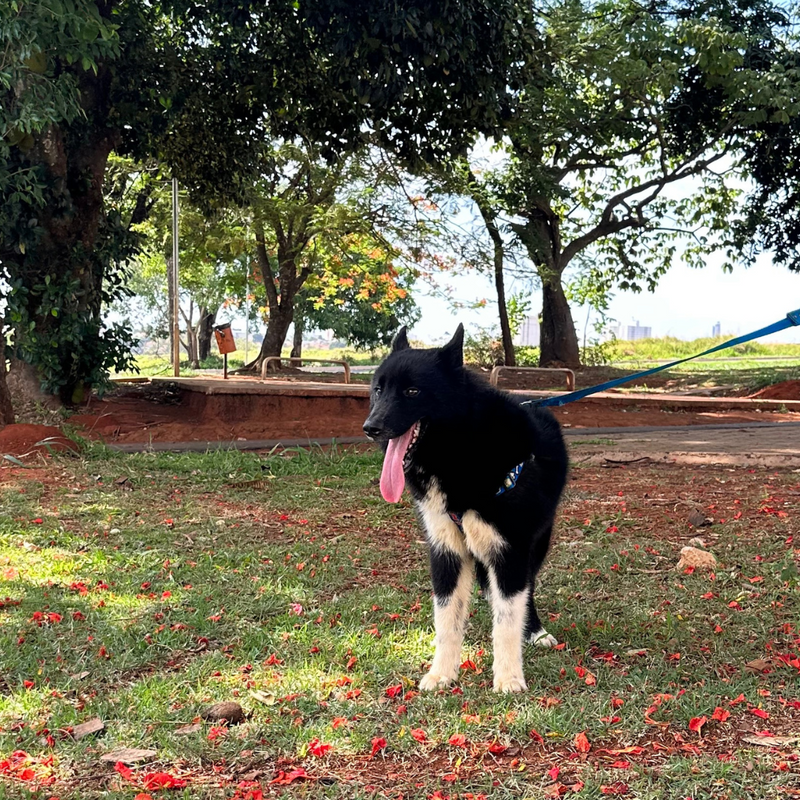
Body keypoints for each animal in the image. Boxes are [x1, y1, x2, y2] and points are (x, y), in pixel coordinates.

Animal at [362, 324, 568, 692]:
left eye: (412, 391)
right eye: (378, 390)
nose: (370, 428)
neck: (459, 450)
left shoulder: (510, 550)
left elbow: (507, 621)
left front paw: (508, 677)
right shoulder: (446, 552)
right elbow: (447, 620)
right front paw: (442, 673)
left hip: (536, 544)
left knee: (525, 592)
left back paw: (535, 630)